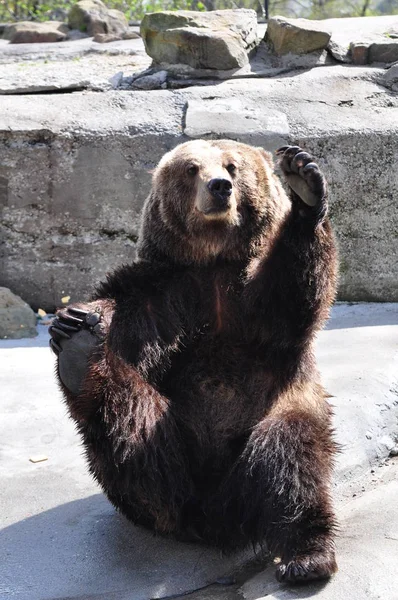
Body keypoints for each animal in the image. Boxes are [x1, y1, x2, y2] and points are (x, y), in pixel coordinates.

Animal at [50, 139, 338, 580]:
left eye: (232, 166)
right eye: (191, 168)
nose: (219, 187)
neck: (212, 260)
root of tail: (211, 516)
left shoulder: (248, 299)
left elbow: (290, 300)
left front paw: (304, 183)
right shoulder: (165, 291)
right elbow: (122, 317)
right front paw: (74, 320)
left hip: (281, 411)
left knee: (290, 456)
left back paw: (307, 556)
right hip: (164, 445)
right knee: (131, 434)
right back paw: (80, 355)